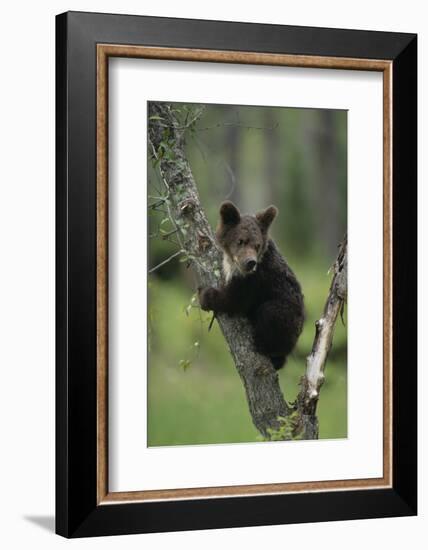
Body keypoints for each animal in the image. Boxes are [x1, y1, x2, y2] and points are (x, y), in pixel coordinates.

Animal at [200, 201, 304, 374]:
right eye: (241, 240)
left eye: (257, 245)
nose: (250, 262)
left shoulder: (256, 280)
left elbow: (234, 300)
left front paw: (205, 296)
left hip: (290, 320)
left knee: (270, 313)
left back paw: (266, 348)